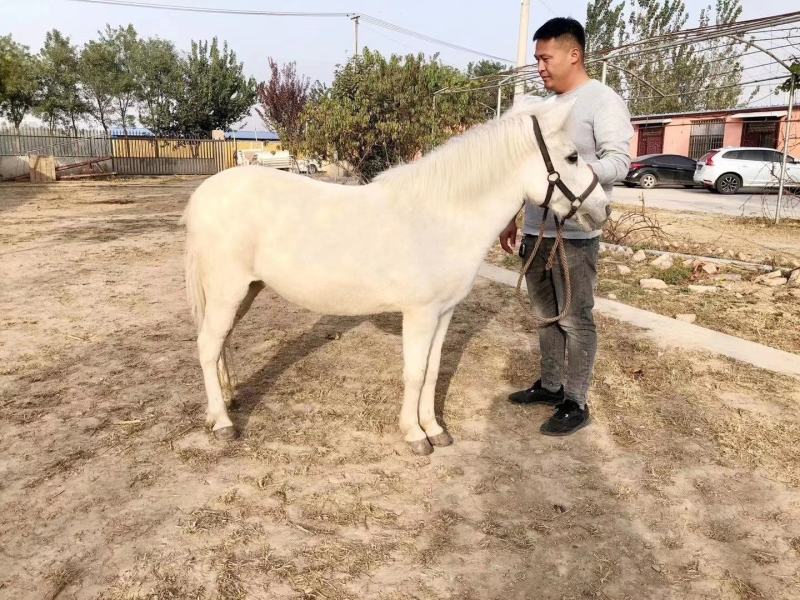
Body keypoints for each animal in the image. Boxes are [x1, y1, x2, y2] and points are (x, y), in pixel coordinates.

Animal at [183, 97, 608, 455]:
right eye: (572, 156)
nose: (603, 208)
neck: (441, 215)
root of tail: (202, 195)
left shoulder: (443, 313)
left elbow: (433, 371)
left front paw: (435, 429)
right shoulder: (419, 314)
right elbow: (415, 373)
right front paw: (415, 435)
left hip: (245, 291)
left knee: (220, 342)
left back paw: (229, 399)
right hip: (227, 291)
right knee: (206, 346)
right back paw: (221, 423)